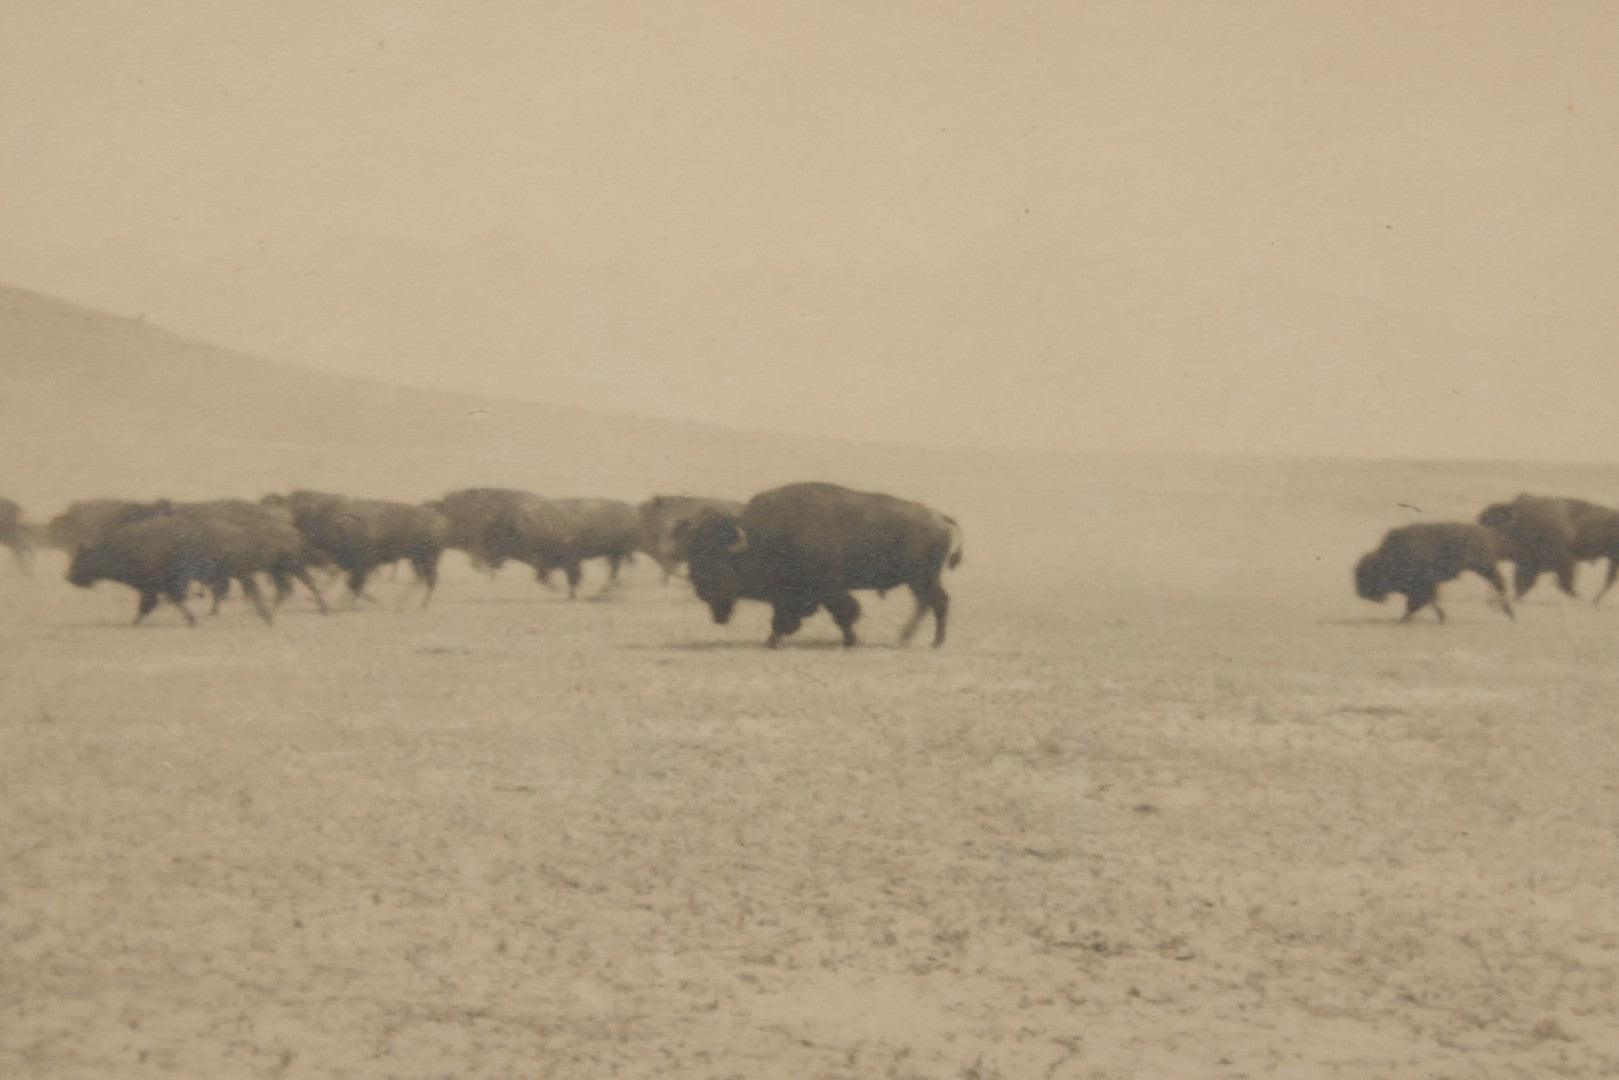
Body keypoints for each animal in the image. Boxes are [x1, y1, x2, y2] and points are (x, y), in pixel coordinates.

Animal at [264, 490, 449, 606]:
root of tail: (439, 520)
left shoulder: (362, 564)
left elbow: (354, 584)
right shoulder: (354, 566)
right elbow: (352, 585)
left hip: (426, 559)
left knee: (429, 580)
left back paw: (418, 605)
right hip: (420, 559)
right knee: (426, 580)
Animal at [680, 481, 963, 648]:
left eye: (719, 561)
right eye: (694, 556)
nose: (699, 589)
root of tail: (940, 518)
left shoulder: (828, 589)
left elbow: (843, 613)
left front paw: (850, 641)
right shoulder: (789, 595)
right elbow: (784, 618)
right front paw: (773, 640)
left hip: (921, 578)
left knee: (936, 602)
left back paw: (932, 642)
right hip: (922, 579)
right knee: (930, 603)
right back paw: (909, 638)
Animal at [1354, 522, 1513, 623]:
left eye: (1369, 576)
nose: (1361, 593)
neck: (1388, 559)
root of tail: (1487, 533)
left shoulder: (1422, 585)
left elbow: (1419, 602)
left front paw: (1405, 618)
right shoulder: (1423, 587)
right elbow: (1430, 600)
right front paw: (1441, 617)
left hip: (1484, 567)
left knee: (1499, 584)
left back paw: (1509, 612)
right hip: (1483, 568)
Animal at [1477, 493, 1619, 604]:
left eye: (1494, 525)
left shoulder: (1563, 562)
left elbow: (1565, 584)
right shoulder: (1527, 564)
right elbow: (1522, 583)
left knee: (1608, 580)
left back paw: (1593, 601)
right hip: (1613, 559)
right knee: (1610, 580)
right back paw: (1594, 601)